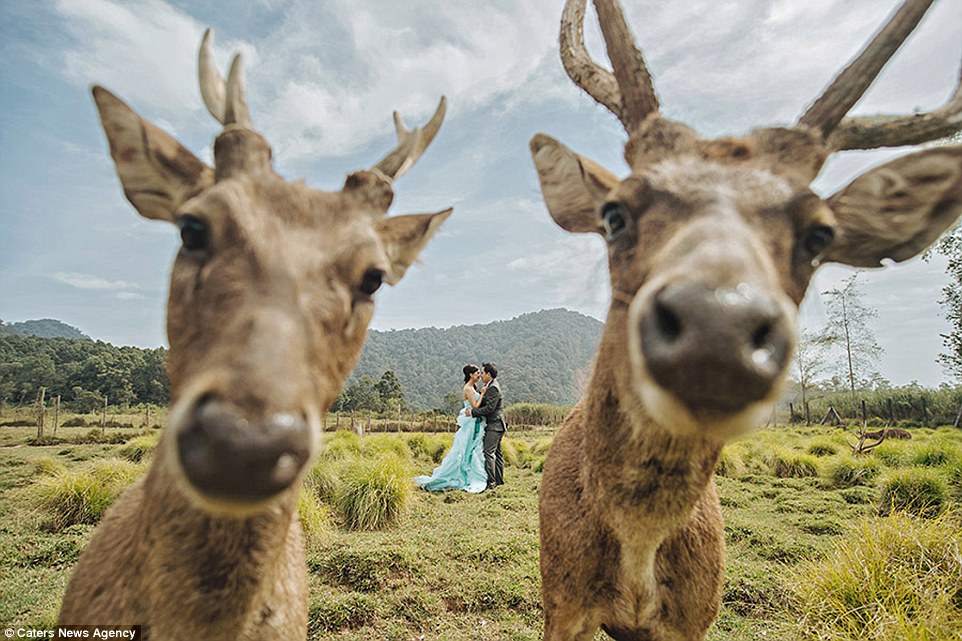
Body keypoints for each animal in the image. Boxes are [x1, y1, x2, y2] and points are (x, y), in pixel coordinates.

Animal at [528, 1, 956, 640]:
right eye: (615, 214)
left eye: (819, 236)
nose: (716, 328)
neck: (638, 555)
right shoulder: (562, 598)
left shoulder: (696, 613)